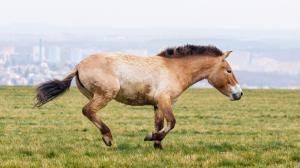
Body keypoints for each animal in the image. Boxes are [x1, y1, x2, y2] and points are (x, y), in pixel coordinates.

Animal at [35, 44, 243, 148]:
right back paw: (108, 138)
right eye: (229, 70)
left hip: (95, 95)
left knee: (89, 112)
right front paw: (150, 137)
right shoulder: (164, 100)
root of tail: (78, 66)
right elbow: (172, 123)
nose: (239, 94)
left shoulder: (157, 104)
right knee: (88, 111)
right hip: (105, 95)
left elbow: (160, 124)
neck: (175, 70)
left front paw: (157, 146)